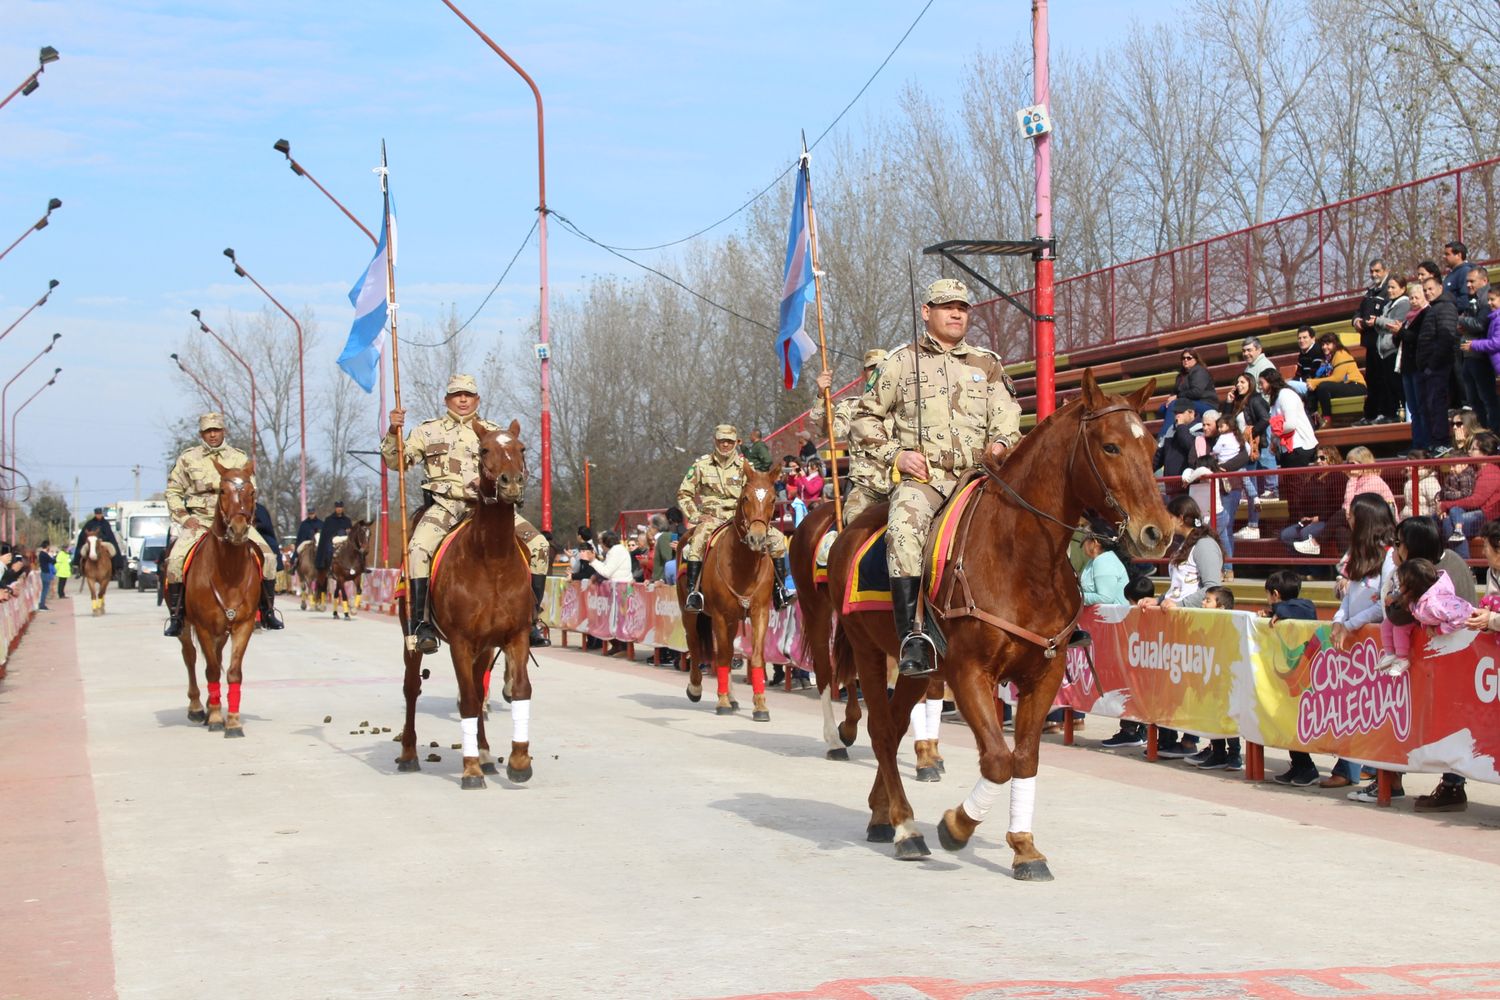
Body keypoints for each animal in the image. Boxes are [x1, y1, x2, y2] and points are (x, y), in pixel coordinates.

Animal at [180, 464, 262, 740]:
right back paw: (197, 707)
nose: (238, 530)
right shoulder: (203, 626)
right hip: (185, 626)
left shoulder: (243, 625)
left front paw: (233, 722)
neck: (228, 572)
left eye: (252, 491)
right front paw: (216, 718)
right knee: (191, 657)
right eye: (222, 491)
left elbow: (233, 672)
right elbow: (212, 670)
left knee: (214, 655)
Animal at [396, 419, 537, 785]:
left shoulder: (515, 635)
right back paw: (409, 753)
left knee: (477, 684)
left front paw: (519, 760)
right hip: (411, 638)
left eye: (522, 448)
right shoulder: (460, 641)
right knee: (412, 688)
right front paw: (470, 769)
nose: (511, 483)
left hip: (485, 647)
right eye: (484, 450)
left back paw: (486, 753)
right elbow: (469, 702)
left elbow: (518, 690)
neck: (493, 560)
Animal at [675, 461, 780, 719]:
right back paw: (696, 688)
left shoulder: (759, 613)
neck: (743, 565)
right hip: (690, 613)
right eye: (745, 498)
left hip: (733, 619)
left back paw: (732, 698)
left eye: (773, 499)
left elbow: (756, 657)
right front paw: (721, 701)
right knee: (694, 643)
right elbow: (721, 656)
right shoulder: (720, 616)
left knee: (729, 651)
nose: (756, 539)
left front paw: (760, 705)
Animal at [828, 371, 1164, 881]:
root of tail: (850, 528)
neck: (1023, 559)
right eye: (1110, 446)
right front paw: (956, 826)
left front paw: (1024, 848)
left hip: (920, 669)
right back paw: (906, 827)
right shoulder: (970, 673)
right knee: (882, 731)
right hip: (869, 652)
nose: (1157, 532)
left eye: (1151, 447)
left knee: (897, 725)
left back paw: (881, 812)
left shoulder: (1042, 675)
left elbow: (1024, 759)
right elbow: (998, 760)